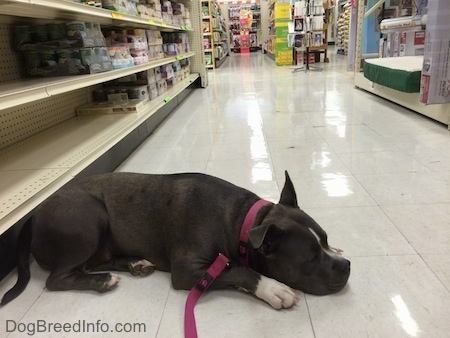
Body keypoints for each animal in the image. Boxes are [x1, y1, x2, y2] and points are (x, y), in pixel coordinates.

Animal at [1, 172, 350, 308]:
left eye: (324, 239)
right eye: (310, 258)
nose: (346, 266)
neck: (241, 221)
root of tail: (34, 214)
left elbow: (233, 268)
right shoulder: (188, 270)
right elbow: (238, 270)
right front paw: (272, 287)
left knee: (95, 261)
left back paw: (134, 264)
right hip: (89, 215)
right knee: (59, 278)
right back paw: (101, 281)